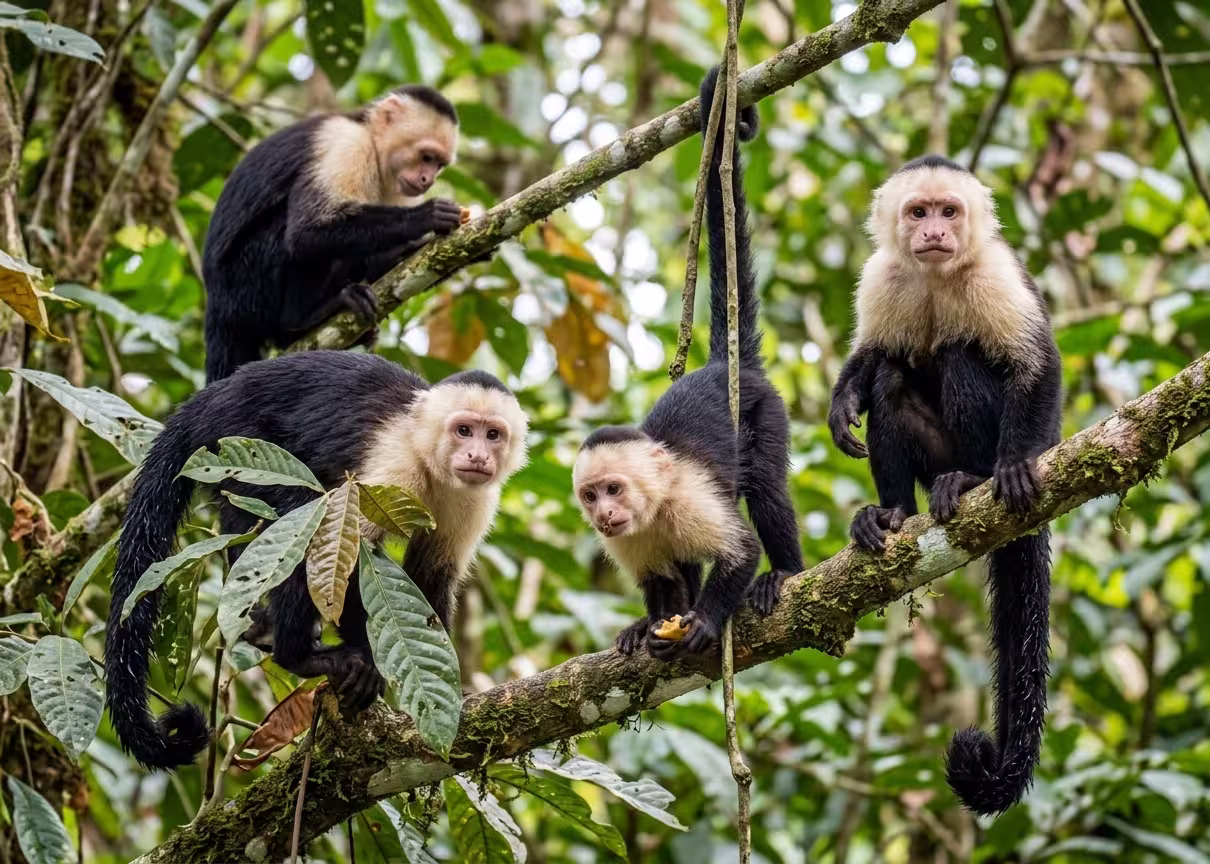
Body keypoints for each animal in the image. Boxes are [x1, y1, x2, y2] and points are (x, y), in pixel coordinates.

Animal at [104, 351, 528, 770]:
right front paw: (367, 661)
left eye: (492, 435)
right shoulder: (393, 465)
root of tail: (215, 395)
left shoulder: (474, 499)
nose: (477, 456)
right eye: (463, 431)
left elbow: (432, 575)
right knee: (301, 514)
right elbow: (343, 550)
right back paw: (297, 655)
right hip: (235, 443)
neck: (428, 458)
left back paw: (263, 627)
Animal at [202, 85, 463, 384]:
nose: (427, 180)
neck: (373, 147)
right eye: (426, 157)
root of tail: (216, 302)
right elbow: (306, 233)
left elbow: (394, 264)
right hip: (243, 283)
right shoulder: (346, 145)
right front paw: (426, 215)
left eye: (438, 165)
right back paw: (302, 319)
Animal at [572, 67, 804, 663]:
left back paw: (785, 572)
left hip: (766, 406)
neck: (653, 510)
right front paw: (653, 623)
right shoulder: (627, 541)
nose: (603, 514)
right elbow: (661, 581)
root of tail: (723, 364)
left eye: (614, 489)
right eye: (591, 495)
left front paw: (703, 620)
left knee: (766, 487)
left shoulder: (691, 501)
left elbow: (739, 552)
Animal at [827, 154, 1062, 816]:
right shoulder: (880, 277)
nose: (934, 231)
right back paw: (891, 514)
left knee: (962, 352)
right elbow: (873, 352)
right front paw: (843, 399)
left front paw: (1015, 464)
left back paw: (980, 476)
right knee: (893, 376)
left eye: (950, 211)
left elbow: (1037, 366)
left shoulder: (996, 273)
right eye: (918, 211)